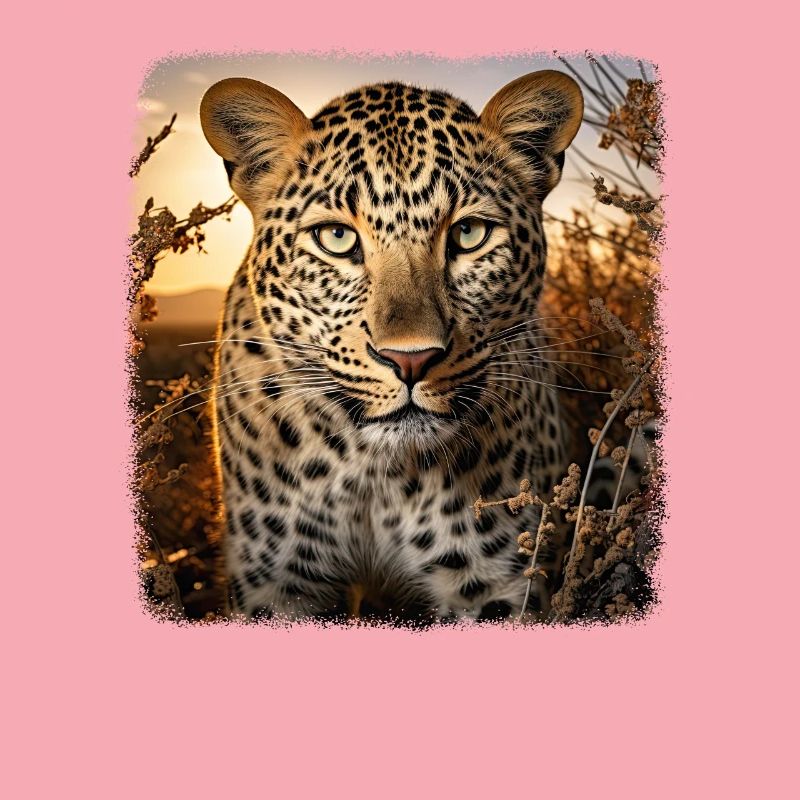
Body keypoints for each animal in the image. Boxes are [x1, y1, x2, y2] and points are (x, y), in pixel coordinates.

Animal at [199, 70, 584, 622]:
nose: (410, 359)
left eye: (469, 233)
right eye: (337, 238)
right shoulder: (279, 583)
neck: (377, 477)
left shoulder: (495, 583)